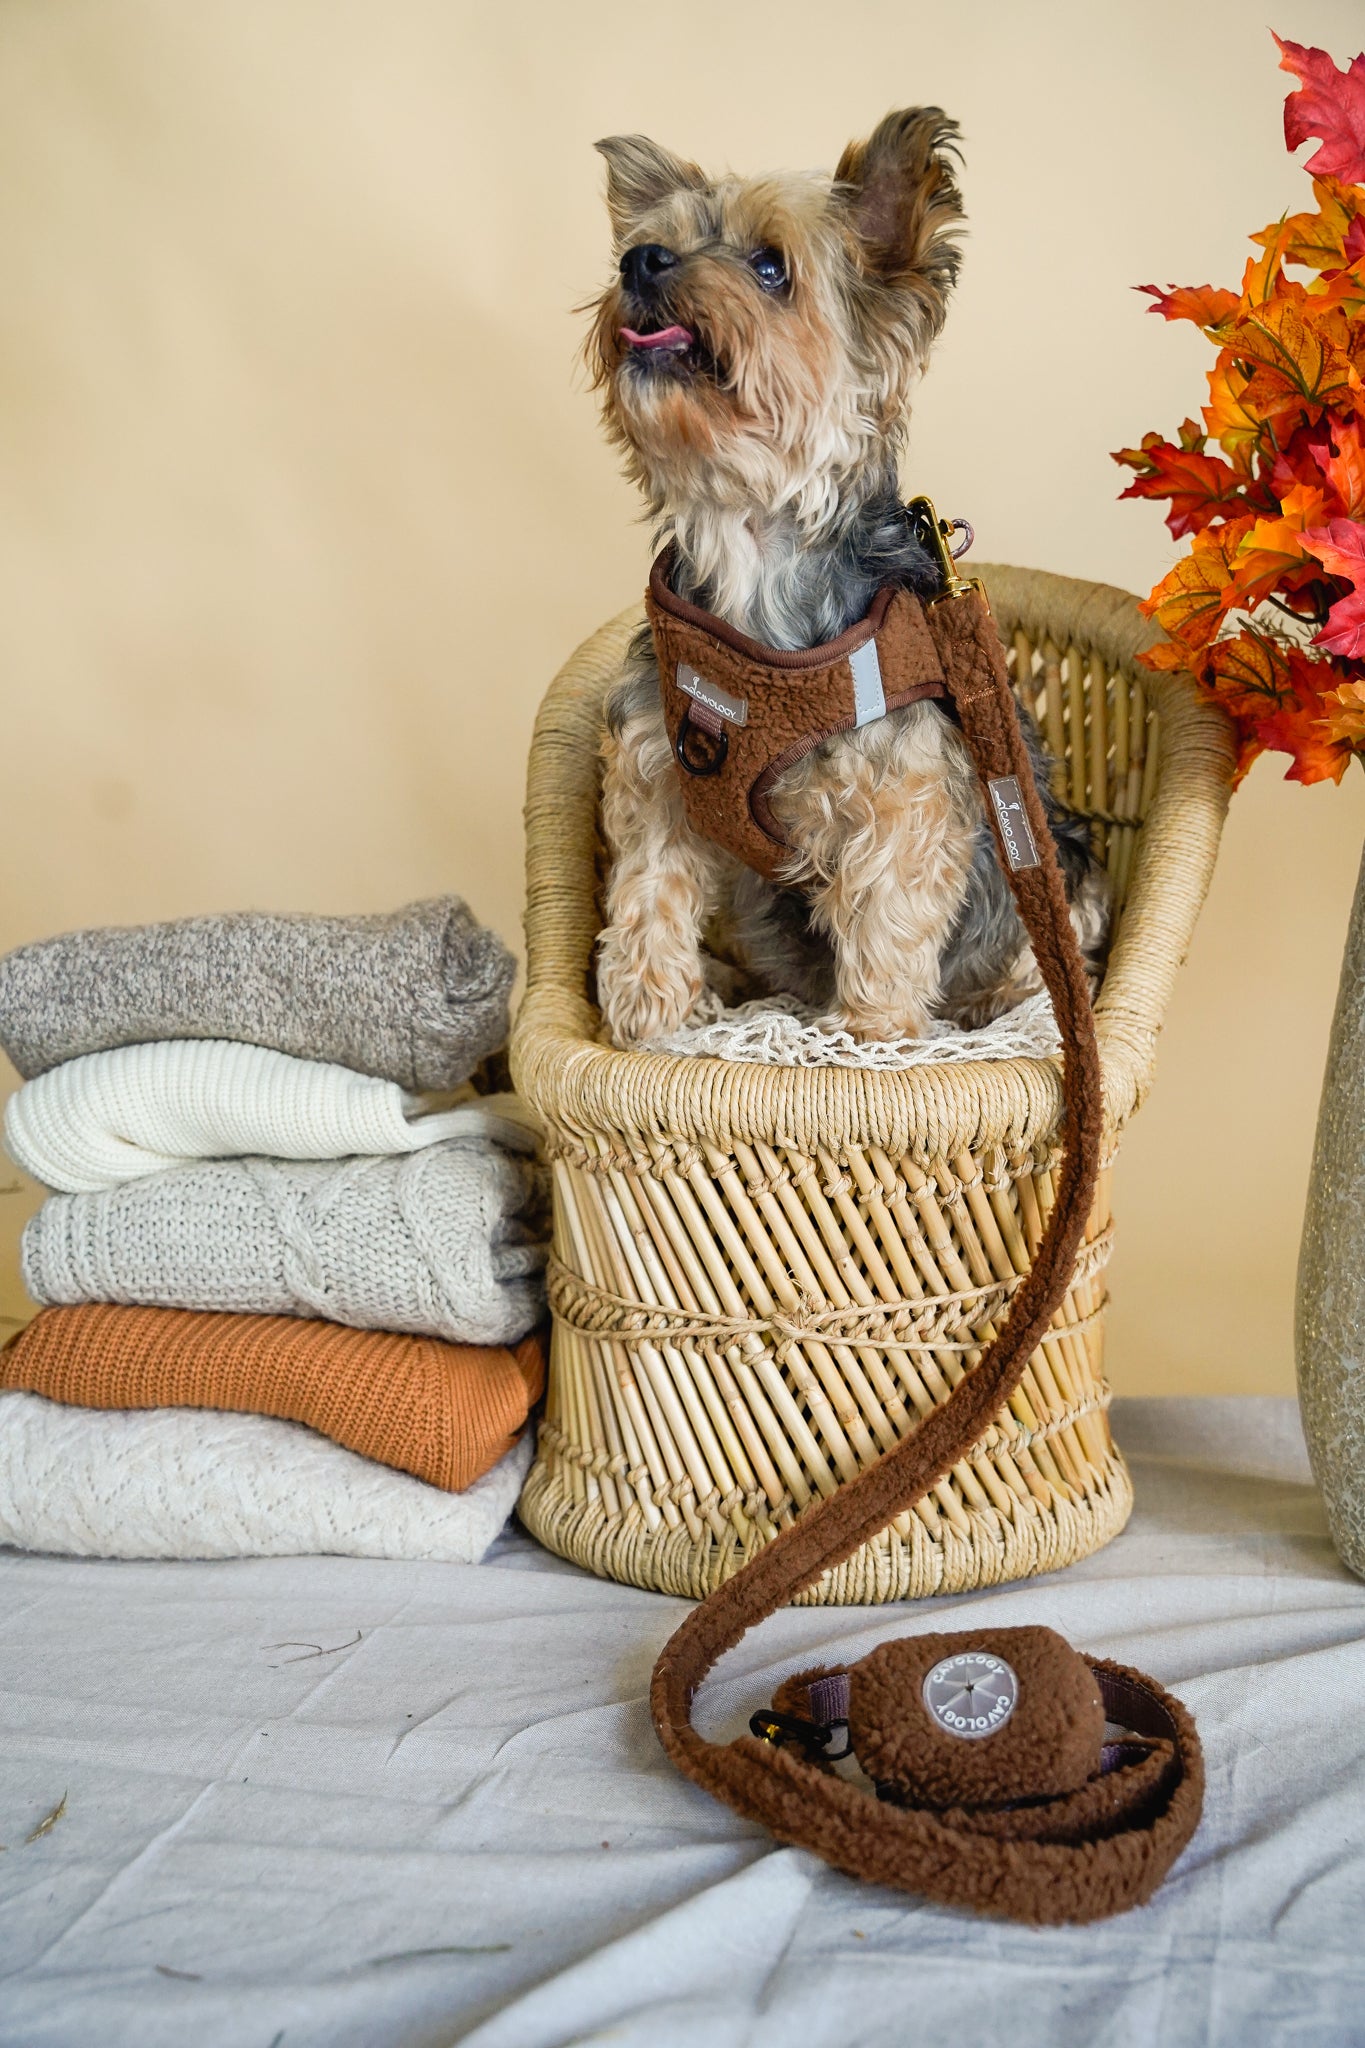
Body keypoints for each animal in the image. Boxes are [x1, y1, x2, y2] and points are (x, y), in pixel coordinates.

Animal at [589, 114, 1113, 1048]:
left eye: (769, 266)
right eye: (653, 243)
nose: (639, 263)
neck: (752, 539)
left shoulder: (903, 796)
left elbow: (884, 918)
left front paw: (868, 1038)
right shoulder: (656, 766)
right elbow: (650, 888)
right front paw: (648, 1011)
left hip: (1064, 868)